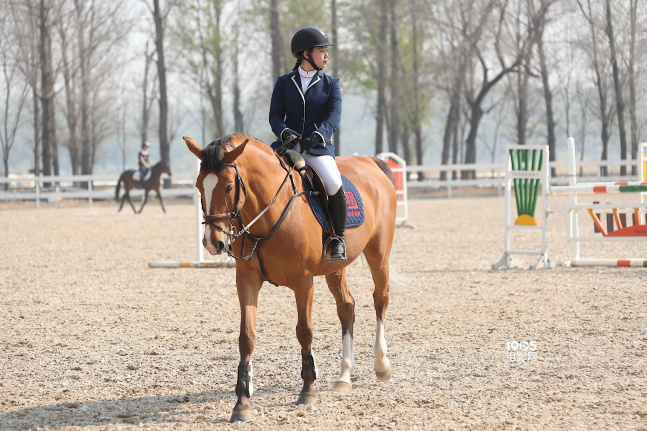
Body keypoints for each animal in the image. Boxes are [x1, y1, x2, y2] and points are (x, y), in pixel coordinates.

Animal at [184, 133, 400, 424]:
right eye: (199, 186)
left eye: (229, 187)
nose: (212, 243)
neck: (267, 213)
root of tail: (371, 163)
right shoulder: (247, 280)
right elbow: (246, 337)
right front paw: (242, 402)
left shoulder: (303, 281)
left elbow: (304, 331)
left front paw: (307, 390)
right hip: (336, 267)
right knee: (346, 307)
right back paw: (344, 376)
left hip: (378, 254)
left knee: (380, 299)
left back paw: (382, 365)